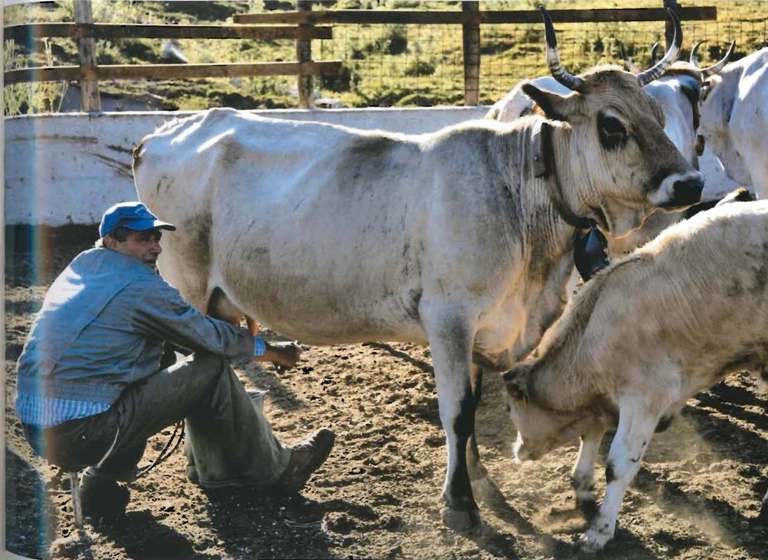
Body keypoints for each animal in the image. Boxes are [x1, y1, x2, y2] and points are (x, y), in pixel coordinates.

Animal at [134, 9, 704, 532]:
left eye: (659, 114)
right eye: (612, 125)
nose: (691, 183)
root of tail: (161, 134)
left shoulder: (486, 327)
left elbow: (473, 407)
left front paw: (478, 479)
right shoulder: (448, 318)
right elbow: (457, 409)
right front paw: (460, 503)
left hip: (220, 302)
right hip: (184, 290)